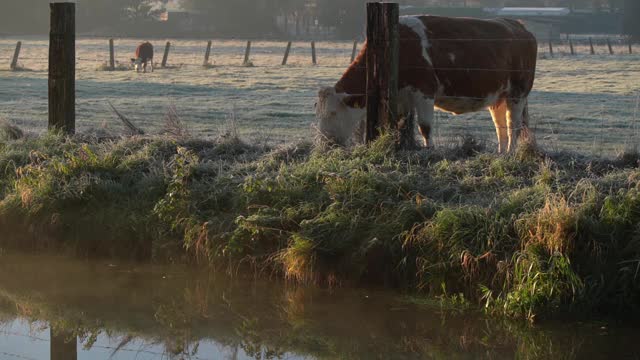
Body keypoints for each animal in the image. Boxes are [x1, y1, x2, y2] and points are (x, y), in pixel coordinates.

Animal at [318, 15, 536, 153]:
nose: (325, 142)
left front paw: (429, 150)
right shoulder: (401, 98)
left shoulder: (424, 90)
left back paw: (511, 153)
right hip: (498, 97)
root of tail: (517, 25)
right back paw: (501, 153)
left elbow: (425, 126)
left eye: (333, 113)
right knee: (501, 126)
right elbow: (401, 125)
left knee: (513, 125)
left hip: (518, 94)